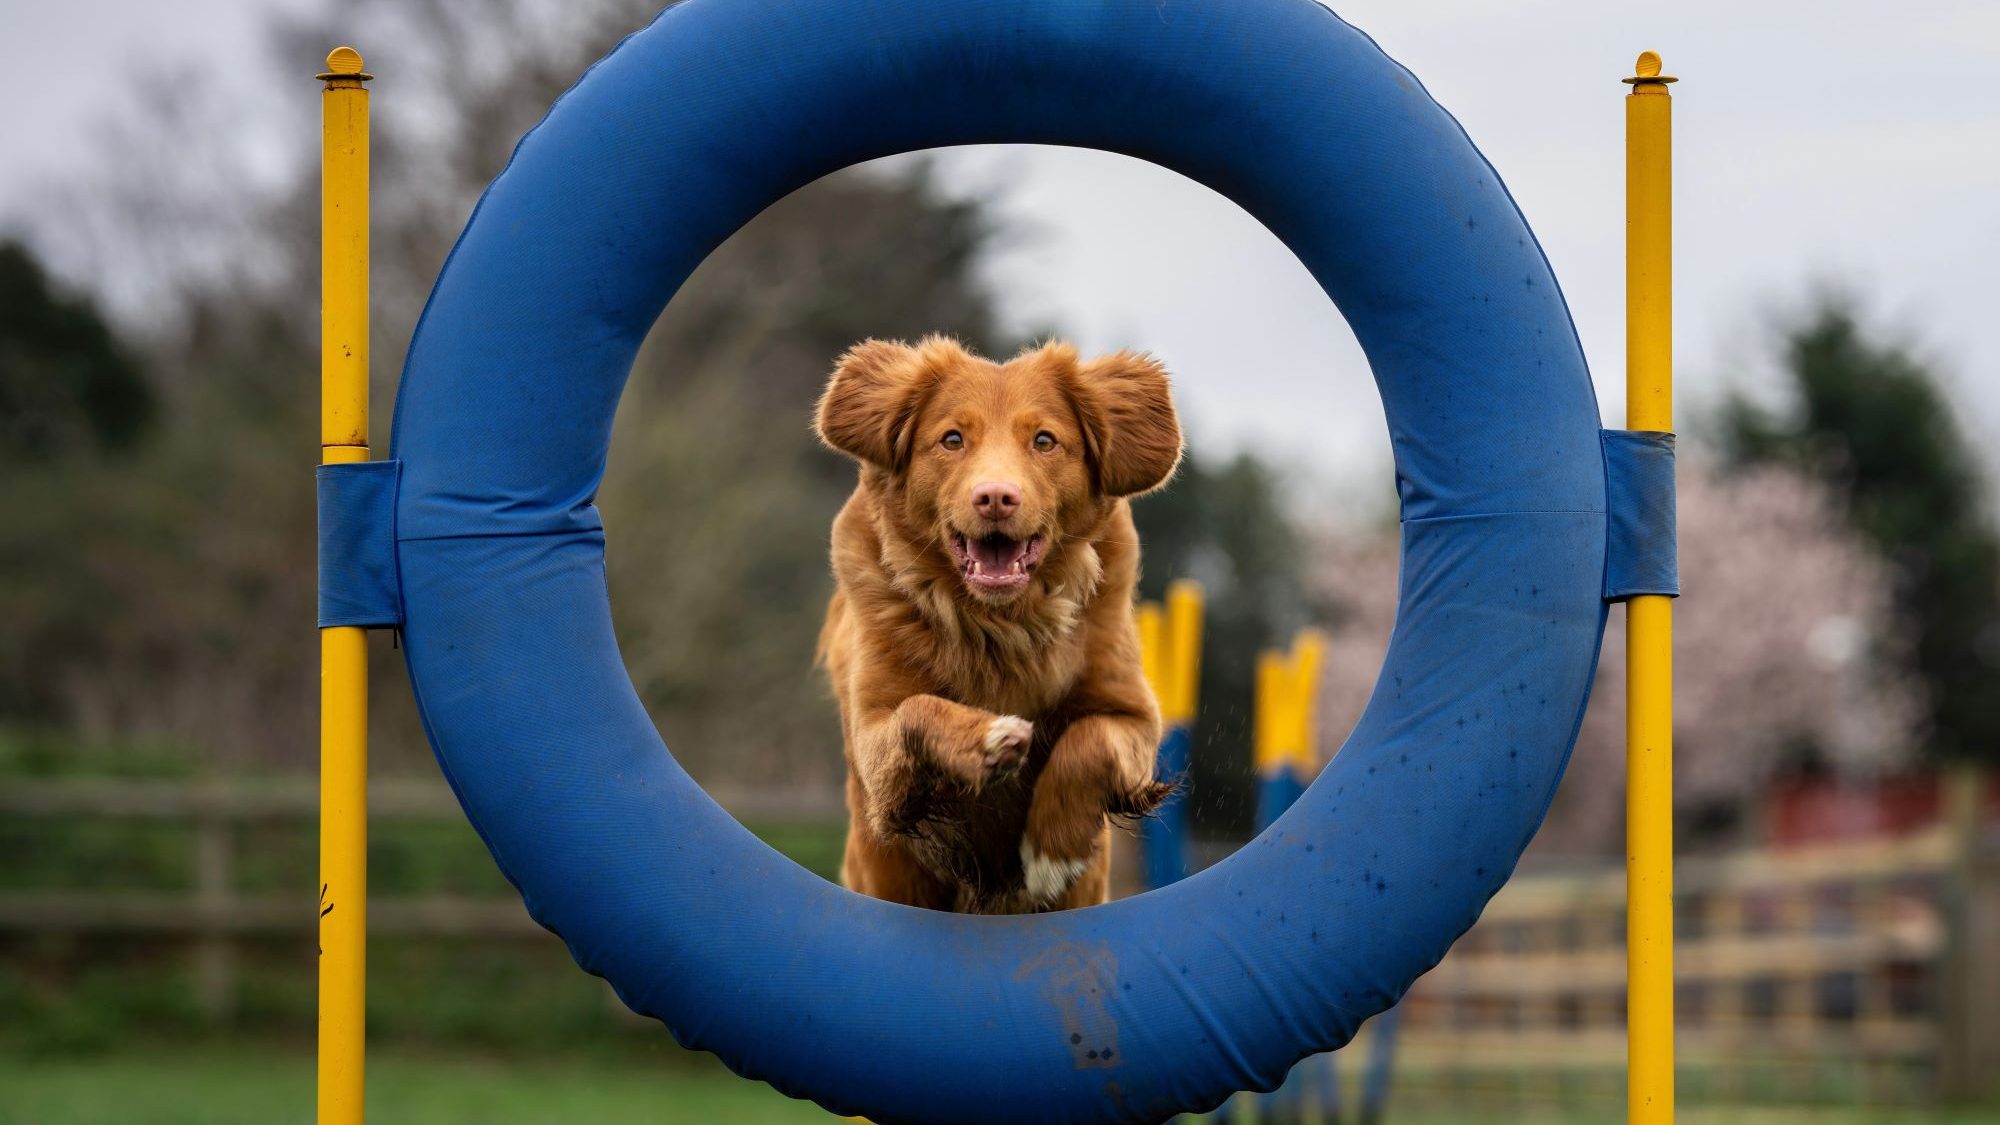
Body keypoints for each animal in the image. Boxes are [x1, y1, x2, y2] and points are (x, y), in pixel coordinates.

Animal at [816, 332, 1184, 912]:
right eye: (951, 439)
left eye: (1044, 441)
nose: (994, 497)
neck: (999, 622)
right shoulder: (877, 748)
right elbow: (918, 709)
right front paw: (988, 737)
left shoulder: (1133, 716)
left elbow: (1091, 743)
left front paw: (1052, 855)